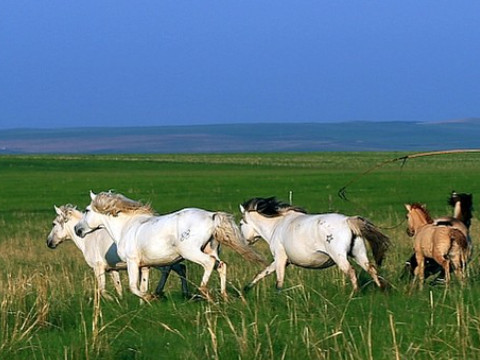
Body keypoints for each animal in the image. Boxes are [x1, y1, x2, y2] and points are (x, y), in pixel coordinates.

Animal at [47, 204, 189, 300]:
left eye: (53, 223)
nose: (48, 242)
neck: (89, 238)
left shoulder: (98, 268)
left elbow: (102, 290)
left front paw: (112, 300)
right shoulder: (112, 269)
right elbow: (118, 287)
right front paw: (121, 302)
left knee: (169, 270)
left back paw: (160, 292)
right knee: (181, 268)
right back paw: (184, 293)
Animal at [74, 191, 266, 300]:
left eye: (87, 210)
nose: (77, 229)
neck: (126, 227)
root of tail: (211, 216)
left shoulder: (132, 262)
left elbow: (134, 287)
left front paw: (152, 297)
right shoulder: (145, 266)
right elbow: (142, 286)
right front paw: (150, 299)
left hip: (192, 252)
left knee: (209, 264)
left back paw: (203, 291)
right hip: (211, 249)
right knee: (221, 265)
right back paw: (224, 296)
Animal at [238, 197, 392, 292]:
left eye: (240, 224)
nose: (244, 241)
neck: (276, 225)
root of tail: (348, 221)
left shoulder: (280, 258)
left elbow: (279, 282)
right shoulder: (282, 261)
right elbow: (262, 273)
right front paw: (246, 289)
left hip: (339, 256)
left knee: (351, 271)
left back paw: (354, 294)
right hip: (358, 254)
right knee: (371, 269)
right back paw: (382, 290)